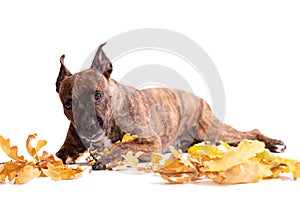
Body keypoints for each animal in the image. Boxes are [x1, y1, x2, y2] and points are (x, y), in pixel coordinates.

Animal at [55, 43, 286, 170]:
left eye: (98, 95)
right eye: (69, 104)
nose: (88, 126)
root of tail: (199, 98)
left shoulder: (150, 141)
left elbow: (123, 146)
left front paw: (105, 159)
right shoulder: (68, 149)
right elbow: (54, 157)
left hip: (213, 130)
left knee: (250, 132)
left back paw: (274, 144)